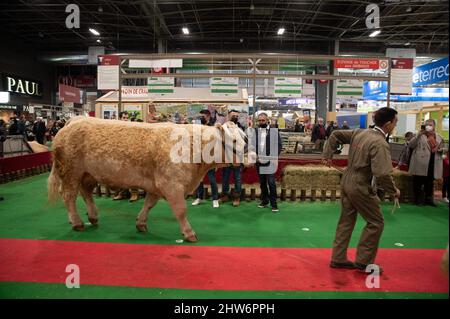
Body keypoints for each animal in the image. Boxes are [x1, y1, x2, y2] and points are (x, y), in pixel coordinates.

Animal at [49, 117, 253, 242]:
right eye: (235, 141)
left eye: (245, 137)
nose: (253, 156)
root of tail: (74, 120)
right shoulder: (171, 185)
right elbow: (181, 210)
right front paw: (189, 233)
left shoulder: (156, 185)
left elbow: (148, 204)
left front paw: (141, 223)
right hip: (70, 172)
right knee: (69, 196)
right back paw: (77, 222)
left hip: (88, 174)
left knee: (86, 193)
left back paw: (92, 216)